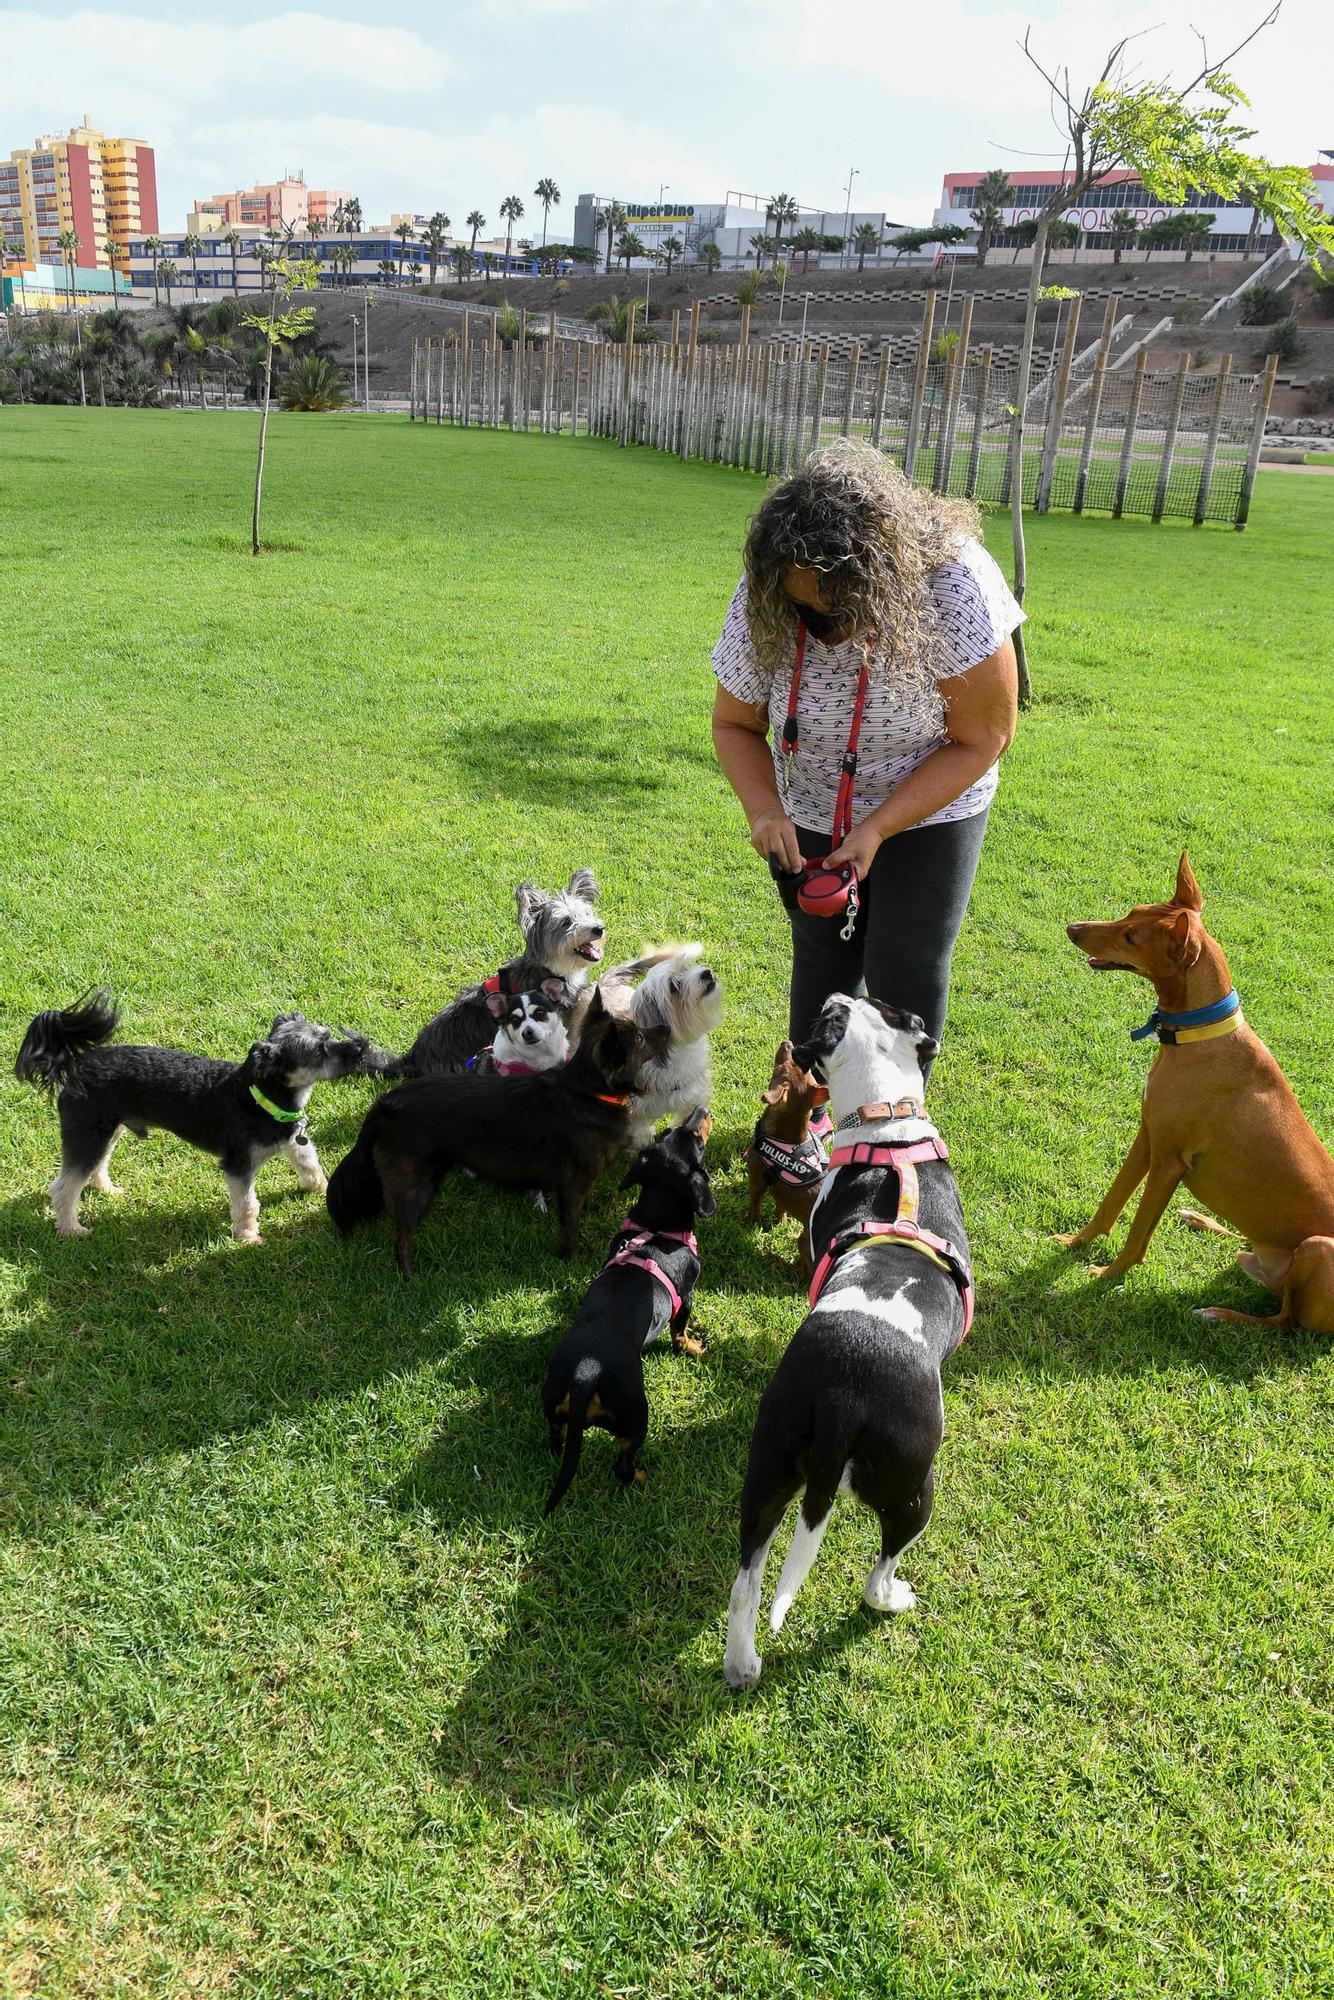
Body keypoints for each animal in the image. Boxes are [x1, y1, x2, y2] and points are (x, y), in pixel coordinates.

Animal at [15, 984, 392, 1232]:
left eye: (327, 1035)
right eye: (318, 1051)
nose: (360, 1049)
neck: (261, 1098)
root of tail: (74, 1064)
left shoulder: (293, 1142)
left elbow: (312, 1166)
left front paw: (324, 1191)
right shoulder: (239, 1165)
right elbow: (247, 1204)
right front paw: (248, 1237)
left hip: (107, 1131)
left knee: (96, 1167)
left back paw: (108, 1191)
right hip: (87, 1134)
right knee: (63, 1188)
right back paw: (71, 1230)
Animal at [328, 992, 668, 1272]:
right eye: (639, 1037)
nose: (665, 1027)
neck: (587, 1091)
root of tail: (384, 1104)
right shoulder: (573, 1186)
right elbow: (570, 1225)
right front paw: (573, 1257)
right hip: (415, 1189)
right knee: (400, 1238)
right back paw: (411, 1277)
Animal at [540, 1112, 716, 1512]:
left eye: (668, 1132)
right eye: (697, 1142)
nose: (700, 1111)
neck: (656, 1223)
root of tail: (585, 1372)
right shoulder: (688, 1296)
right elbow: (680, 1330)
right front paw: (691, 1346)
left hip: (553, 1401)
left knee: (555, 1436)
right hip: (636, 1415)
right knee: (622, 1463)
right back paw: (640, 1478)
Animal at [724, 996, 976, 1688]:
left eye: (874, 1006)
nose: (837, 996)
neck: (888, 1125)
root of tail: (845, 1388)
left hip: (770, 1466)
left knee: (747, 1583)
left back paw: (742, 1665)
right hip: (911, 1484)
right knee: (880, 1566)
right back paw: (892, 1599)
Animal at [1064, 852, 1334, 1336]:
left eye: (1131, 937)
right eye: (1130, 912)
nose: (1072, 928)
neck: (1199, 1035)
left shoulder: (1169, 1161)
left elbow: (1137, 1237)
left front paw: (1106, 1274)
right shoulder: (1148, 1138)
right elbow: (1110, 1204)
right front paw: (1076, 1242)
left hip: (1319, 1249)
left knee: (1284, 1321)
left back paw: (1217, 1313)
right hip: (1263, 1249)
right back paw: (1200, 1220)